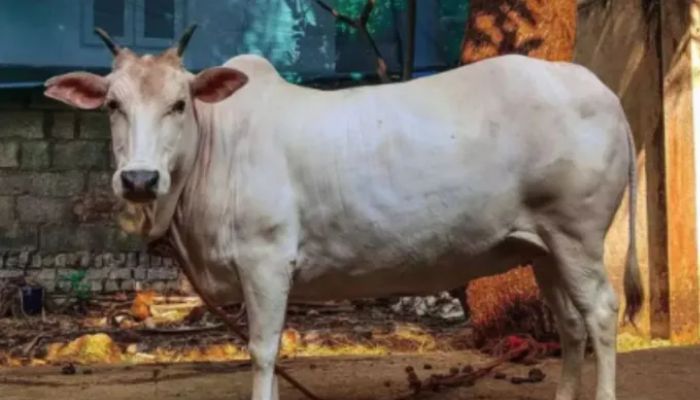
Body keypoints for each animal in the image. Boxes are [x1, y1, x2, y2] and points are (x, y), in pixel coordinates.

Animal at [44, 26, 642, 400]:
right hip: (544, 248)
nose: (140, 179)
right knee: (569, 323)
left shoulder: (266, 262)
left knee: (601, 314)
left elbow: (263, 351)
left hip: (577, 235)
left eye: (179, 103)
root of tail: (599, 89)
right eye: (113, 105)